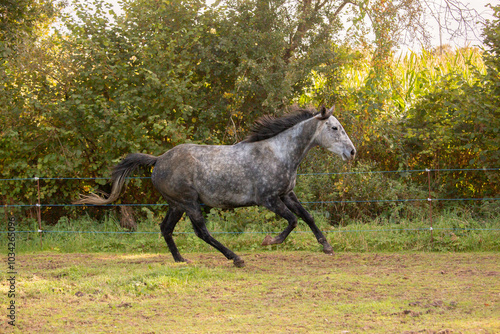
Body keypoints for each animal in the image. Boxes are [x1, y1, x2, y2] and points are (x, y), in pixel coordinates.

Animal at [75, 105, 356, 268]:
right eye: (334, 127)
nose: (352, 152)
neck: (279, 153)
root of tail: (158, 159)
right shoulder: (268, 199)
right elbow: (293, 221)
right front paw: (269, 241)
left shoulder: (287, 194)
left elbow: (307, 217)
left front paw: (327, 247)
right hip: (189, 202)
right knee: (202, 232)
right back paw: (236, 258)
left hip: (176, 205)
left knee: (166, 229)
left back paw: (181, 260)